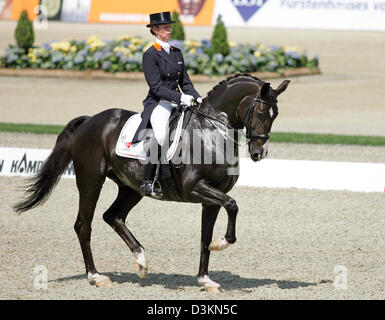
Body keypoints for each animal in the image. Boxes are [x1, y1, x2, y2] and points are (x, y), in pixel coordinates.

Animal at [13, 74, 288, 294]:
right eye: (260, 112)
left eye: (275, 115)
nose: (259, 153)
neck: (210, 131)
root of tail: (91, 120)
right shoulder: (196, 188)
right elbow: (233, 205)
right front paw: (222, 243)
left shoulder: (211, 196)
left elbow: (205, 237)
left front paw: (205, 279)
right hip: (91, 180)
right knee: (84, 225)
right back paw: (96, 276)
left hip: (131, 188)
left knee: (113, 216)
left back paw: (141, 262)